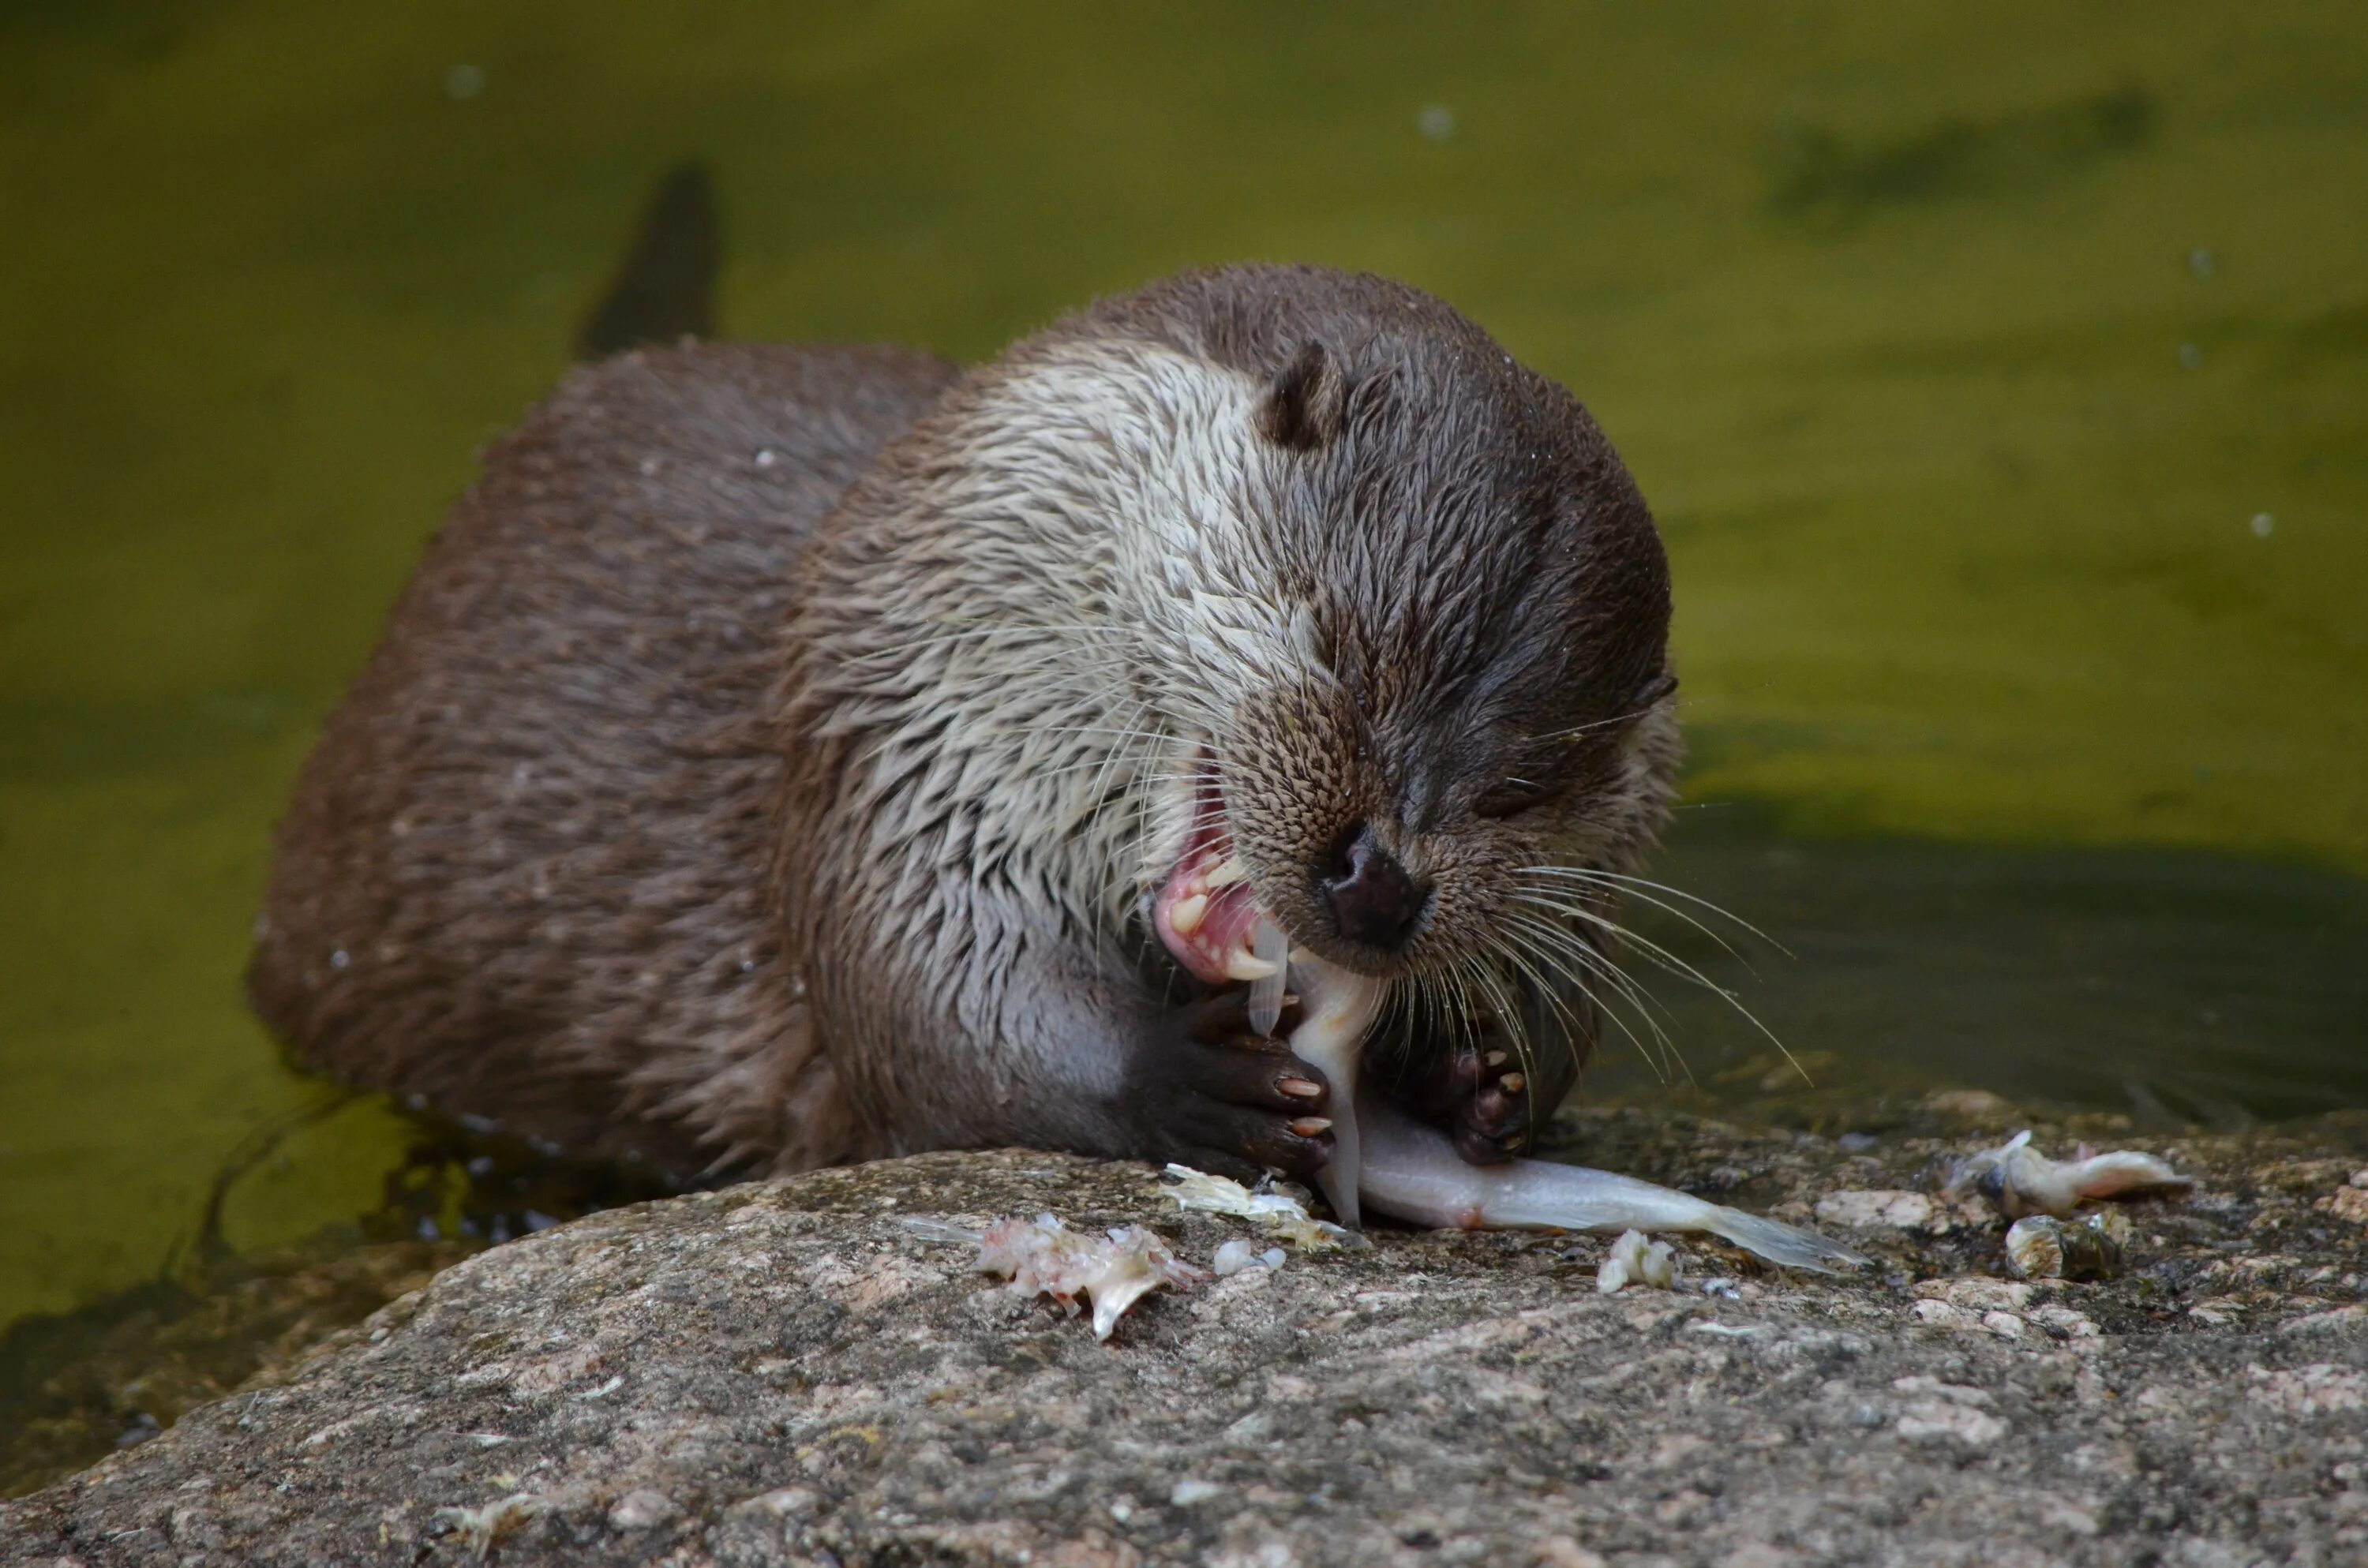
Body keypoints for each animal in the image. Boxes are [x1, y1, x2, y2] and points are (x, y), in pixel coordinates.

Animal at [245, 270, 1686, 1198]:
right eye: (1339, 643)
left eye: (1530, 782)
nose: (1380, 881)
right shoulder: (902, 747)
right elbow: (927, 1006)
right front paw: (1181, 1076)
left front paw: (1472, 1075)